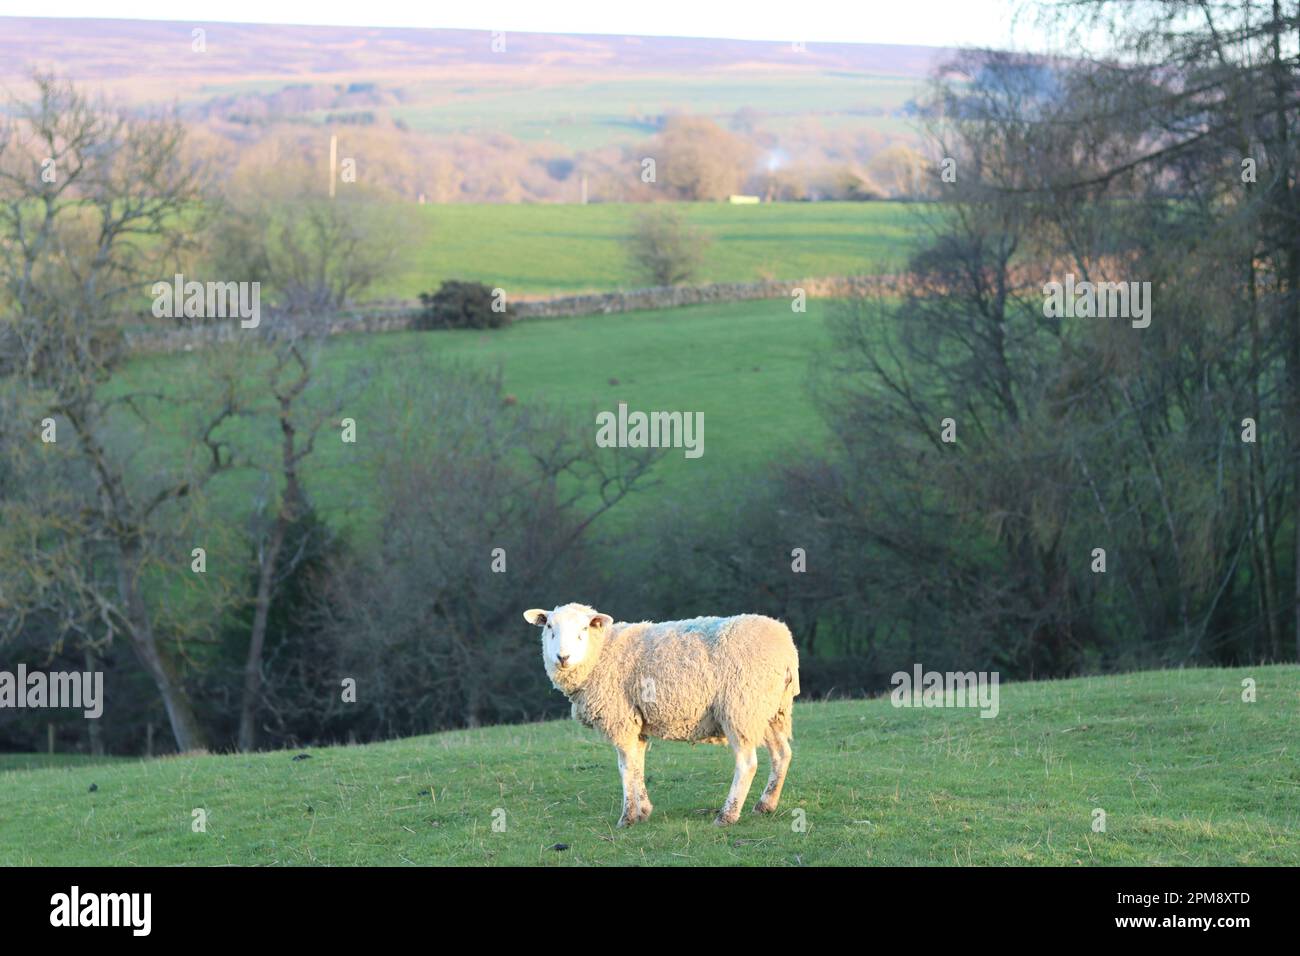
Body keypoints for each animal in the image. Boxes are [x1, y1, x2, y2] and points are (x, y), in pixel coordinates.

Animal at [522, 603, 800, 827]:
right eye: (549, 626)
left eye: (583, 629)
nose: (563, 657)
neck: (602, 652)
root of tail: (785, 646)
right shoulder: (636, 721)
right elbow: (638, 765)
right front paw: (643, 810)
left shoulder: (620, 719)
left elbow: (625, 767)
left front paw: (627, 817)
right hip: (771, 711)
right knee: (782, 754)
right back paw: (766, 804)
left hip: (741, 707)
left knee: (747, 763)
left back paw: (727, 815)